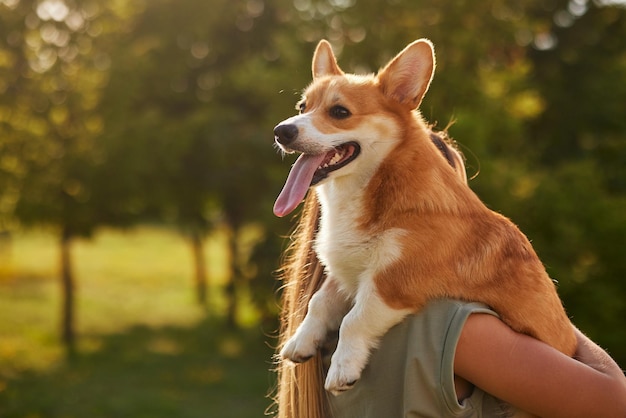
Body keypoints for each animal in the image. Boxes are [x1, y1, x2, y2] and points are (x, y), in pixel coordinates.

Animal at [270, 38, 572, 396]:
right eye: (303, 106)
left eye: (340, 112)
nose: (281, 131)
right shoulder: (347, 273)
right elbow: (319, 301)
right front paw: (301, 341)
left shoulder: (392, 283)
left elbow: (354, 320)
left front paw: (342, 368)